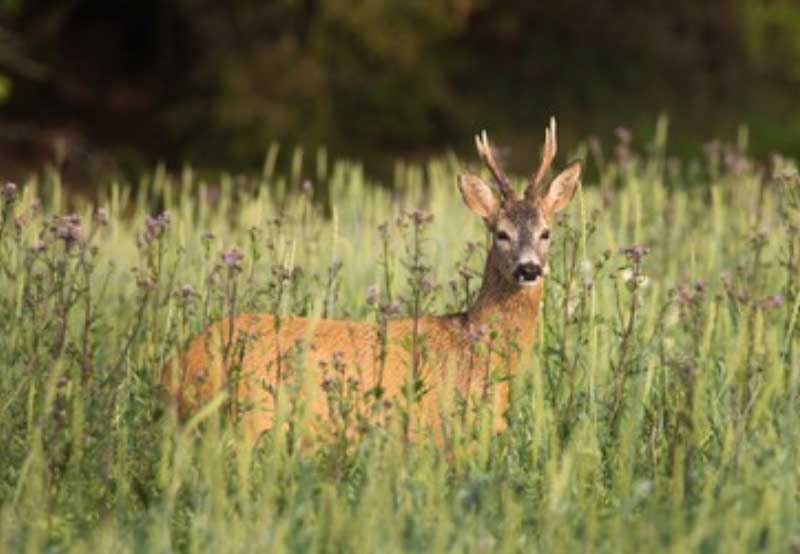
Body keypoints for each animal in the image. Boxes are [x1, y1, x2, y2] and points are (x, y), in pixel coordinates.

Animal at [162, 117, 584, 444]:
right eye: (501, 233)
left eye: (546, 232)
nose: (529, 268)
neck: (476, 348)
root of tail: (175, 366)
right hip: (247, 419)